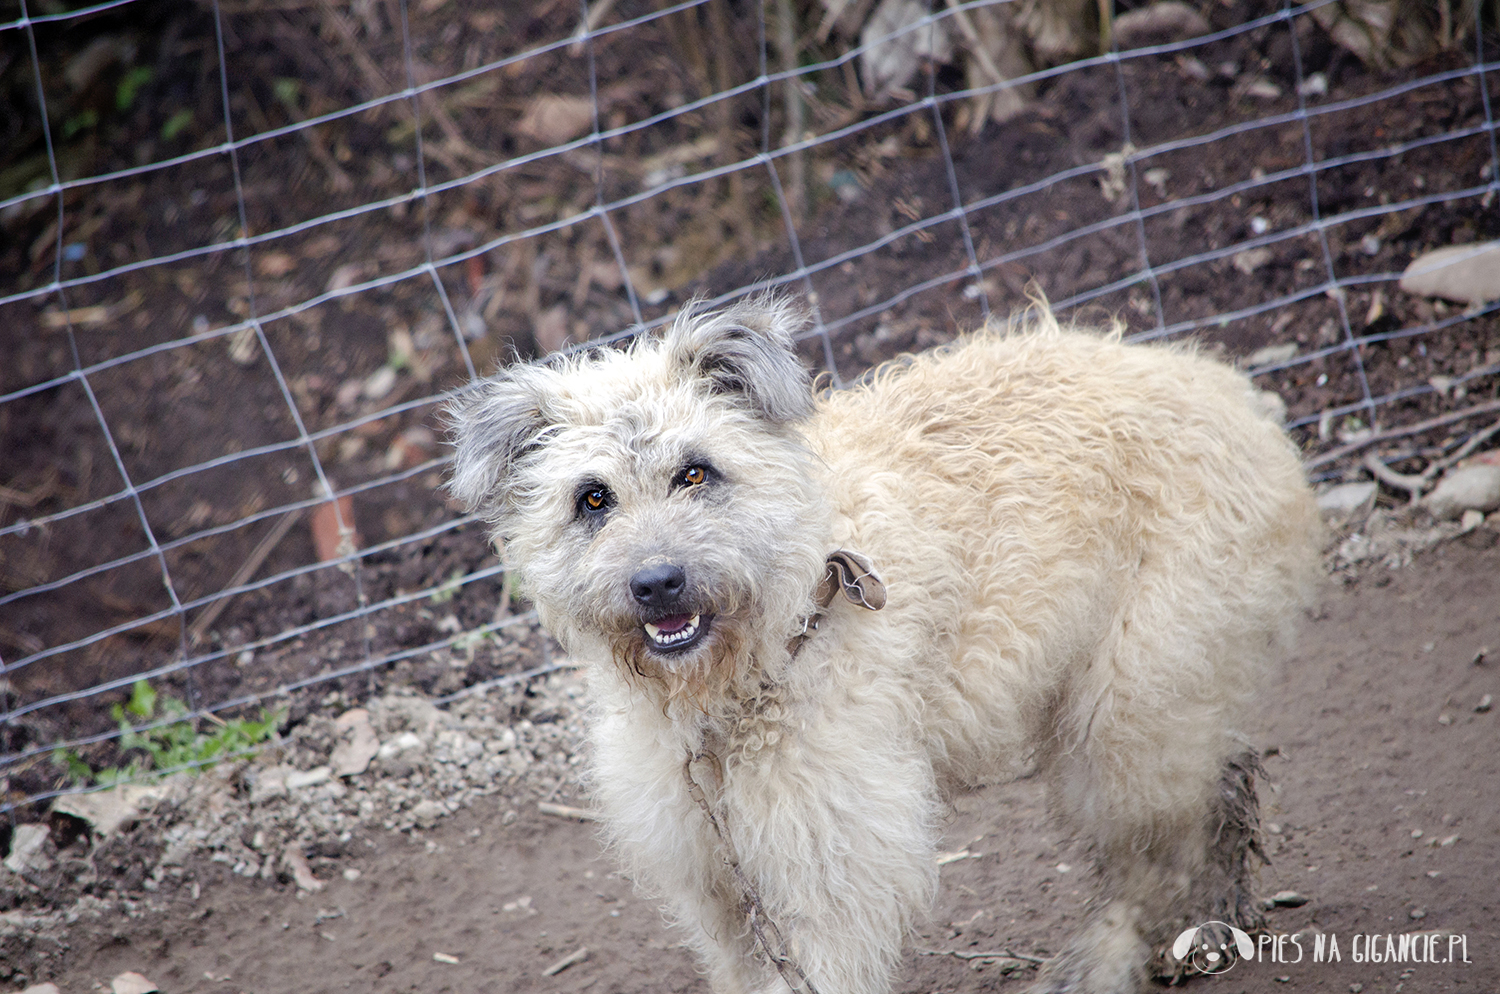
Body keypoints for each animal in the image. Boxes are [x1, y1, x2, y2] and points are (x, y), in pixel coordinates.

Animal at [441, 296, 1314, 994]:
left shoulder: (831, 870)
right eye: (592, 499)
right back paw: (1214, 930)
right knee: (1221, 783)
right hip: (1158, 700)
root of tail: (1227, 389)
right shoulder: (715, 882)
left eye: (696, 473)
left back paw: (1108, 963)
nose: (657, 584)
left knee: (1154, 855)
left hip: (1125, 719)